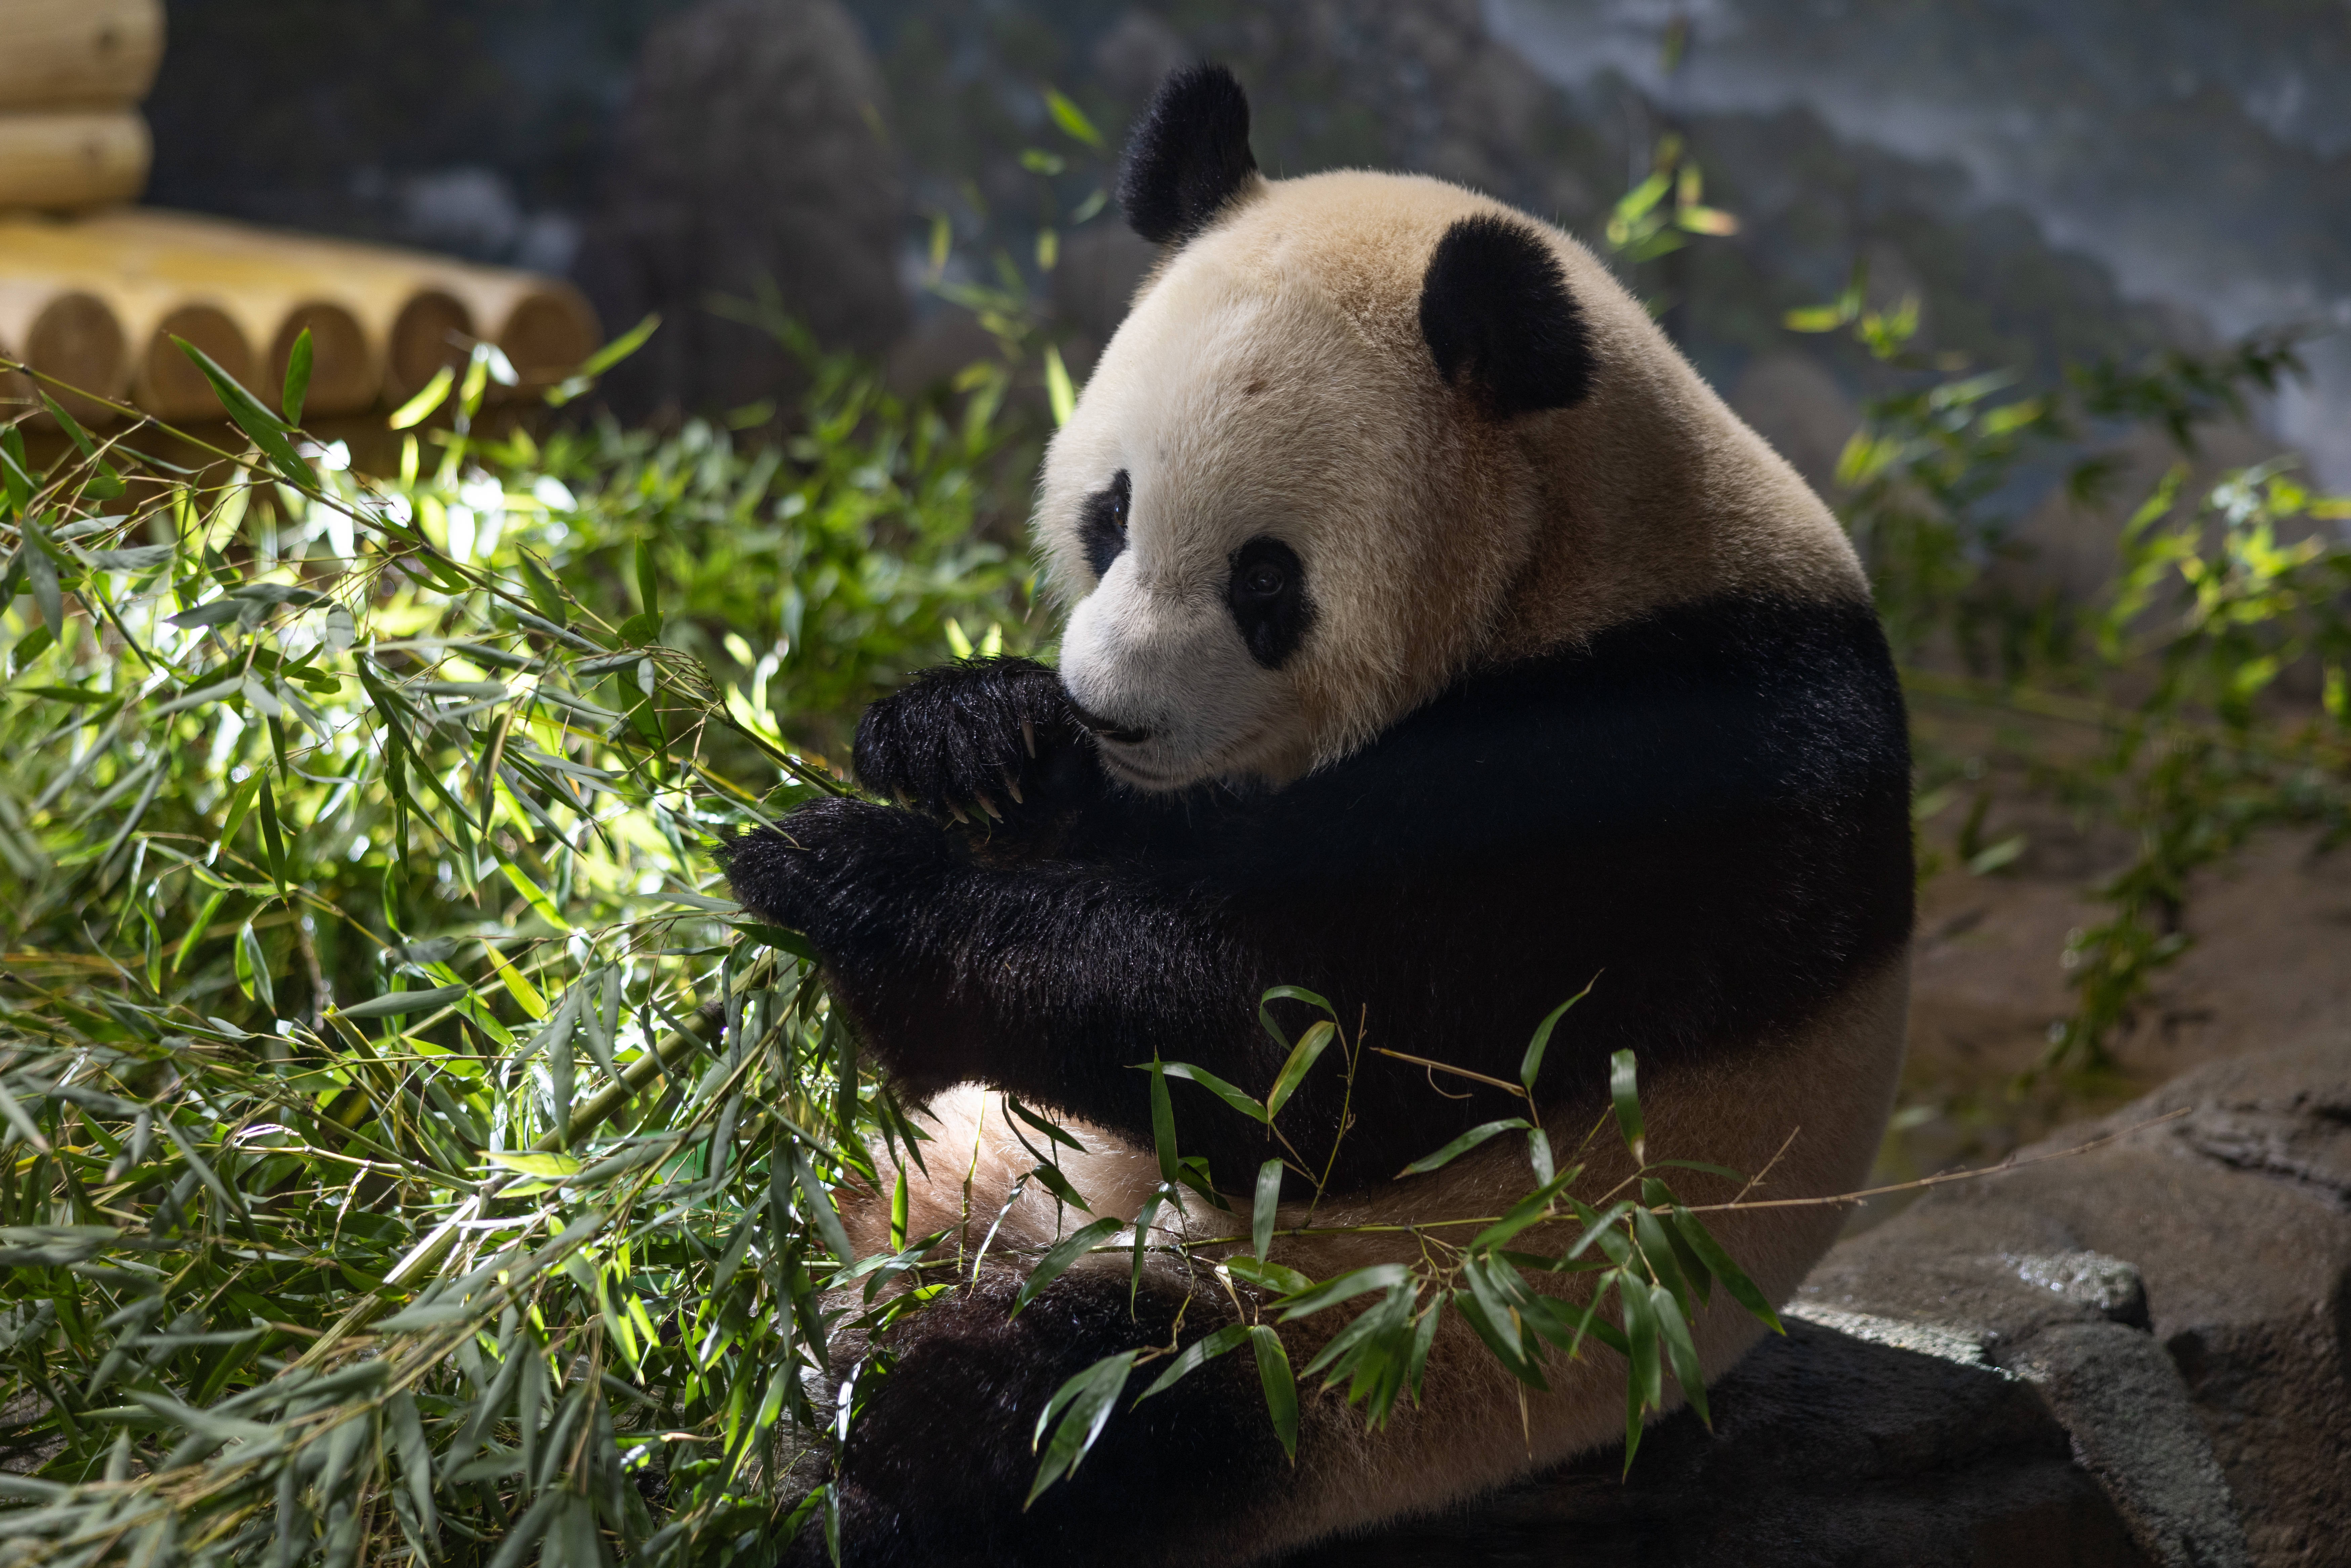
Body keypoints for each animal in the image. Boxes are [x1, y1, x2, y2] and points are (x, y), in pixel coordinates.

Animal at [724, 61, 1918, 1568]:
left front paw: (850, 865)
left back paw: (883, 1446)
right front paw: (967, 735)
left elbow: (1308, 1052)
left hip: (1373, 1339)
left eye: (1264, 579)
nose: (1110, 711)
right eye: (1108, 514)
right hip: (961, 1153)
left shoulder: (1652, 776)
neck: (1574, 549)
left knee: (1097, 1401)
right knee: (813, 1185)